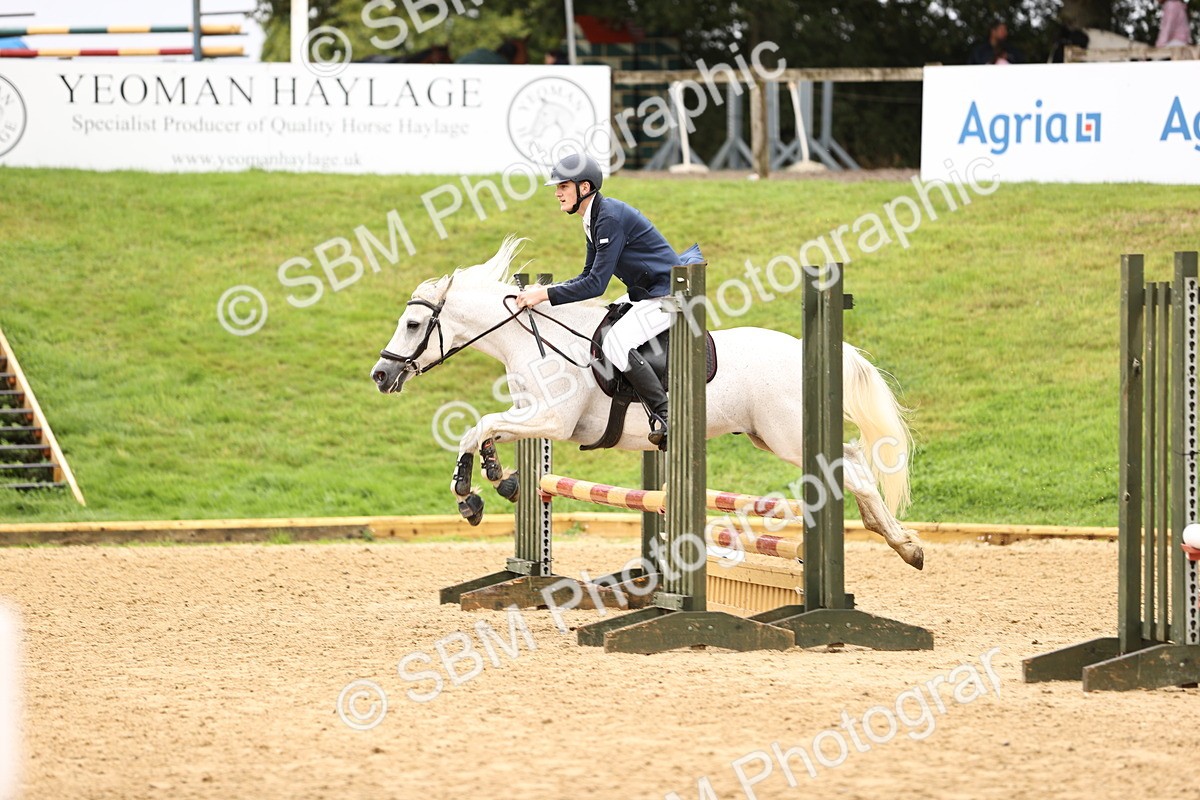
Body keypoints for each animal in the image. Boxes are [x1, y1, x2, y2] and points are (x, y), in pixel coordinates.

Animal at [370, 237, 925, 569]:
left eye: (414, 324)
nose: (381, 374)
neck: (532, 340)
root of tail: (805, 350)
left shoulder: (551, 419)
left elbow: (478, 424)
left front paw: (469, 493)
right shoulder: (533, 419)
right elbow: (484, 429)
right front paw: (495, 478)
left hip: (788, 435)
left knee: (851, 469)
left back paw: (905, 545)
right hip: (769, 436)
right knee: (852, 464)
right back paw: (892, 536)